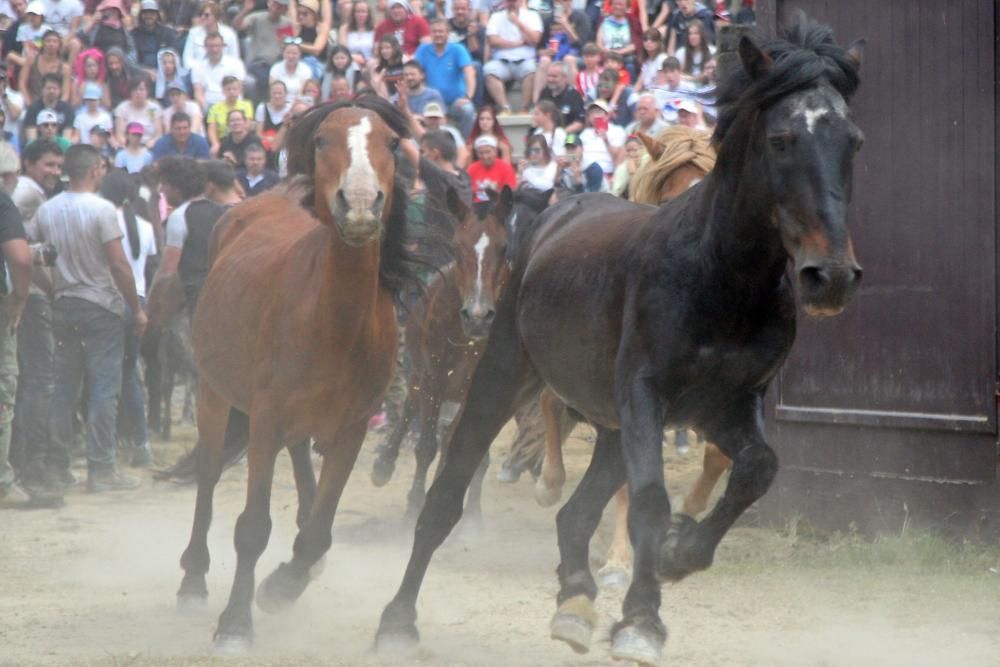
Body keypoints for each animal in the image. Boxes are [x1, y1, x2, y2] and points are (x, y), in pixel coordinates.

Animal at [172, 96, 426, 648]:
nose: (360, 203)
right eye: (323, 140)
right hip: (215, 391)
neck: (332, 318)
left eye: (392, 143)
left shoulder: (353, 425)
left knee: (301, 468)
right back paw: (193, 578)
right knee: (208, 472)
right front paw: (235, 623)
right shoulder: (265, 417)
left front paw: (282, 586)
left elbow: (319, 532)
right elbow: (252, 528)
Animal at [378, 18, 864, 664]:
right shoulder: (644, 395)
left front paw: (680, 554)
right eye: (783, 140)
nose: (829, 275)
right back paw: (397, 618)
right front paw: (641, 619)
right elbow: (651, 500)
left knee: (574, 515)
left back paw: (575, 603)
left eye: (852, 142)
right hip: (502, 375)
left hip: (608, 424)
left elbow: (757, 467)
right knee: (447, 493)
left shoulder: (725, 404)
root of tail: (557, 213)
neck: (719, 279)